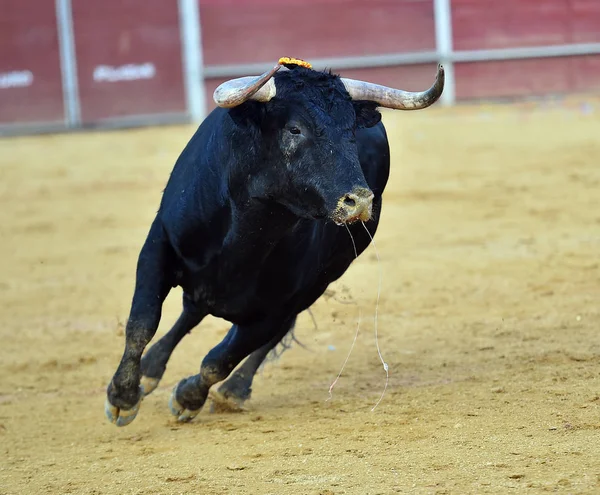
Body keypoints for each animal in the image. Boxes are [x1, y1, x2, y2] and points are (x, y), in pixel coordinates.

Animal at [103, 62, 442, 426]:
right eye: (295, 129)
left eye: (351, 130)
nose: (360, 201)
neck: (244, 235)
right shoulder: (159, 244)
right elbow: (142, 322)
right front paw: (123, 397)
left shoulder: (281, 303)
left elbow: (220, 359)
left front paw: (187, 398)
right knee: (191, 311)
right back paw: (151, 370)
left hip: (319, 282)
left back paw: (233, 391)